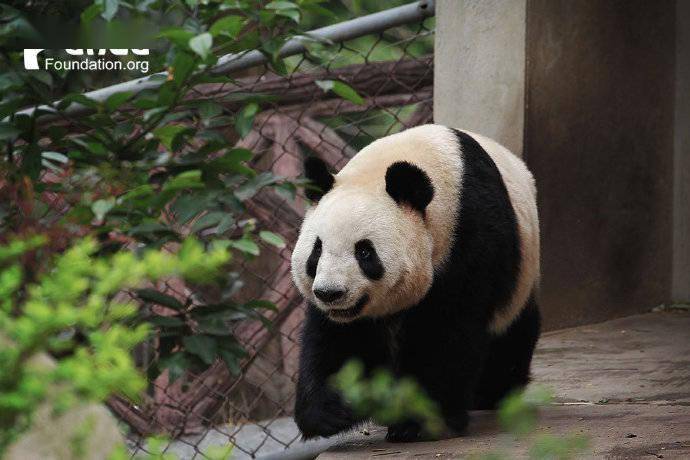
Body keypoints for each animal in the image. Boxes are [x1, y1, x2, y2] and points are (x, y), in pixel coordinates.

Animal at [288, 123, 540, 442]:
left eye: (364, 252)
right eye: (317, 250)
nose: (330, 293)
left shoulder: (470, 239)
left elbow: (447, 330)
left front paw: (418, 421)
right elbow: (337, 339)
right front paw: (336, 409)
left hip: (521, 277)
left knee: (511, 334)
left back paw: (490, 395)